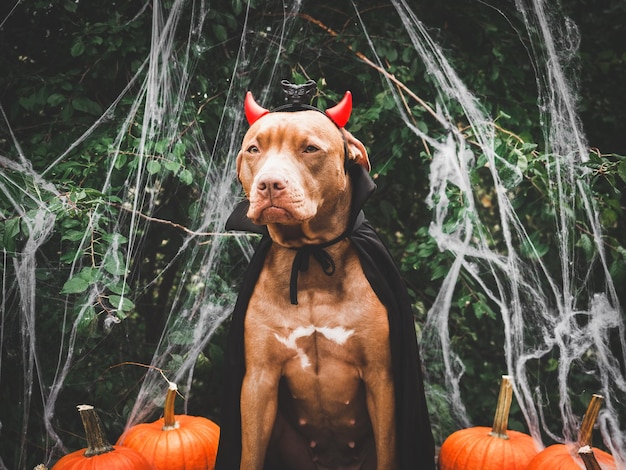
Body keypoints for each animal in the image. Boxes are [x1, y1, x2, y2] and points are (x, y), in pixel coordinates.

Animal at [214, 85, 434, 470]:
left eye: (310, 148)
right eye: (254, 149)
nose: (269, 184)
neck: (310, 258)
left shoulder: (382, 380)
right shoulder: (257, 382)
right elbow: (249, 453)